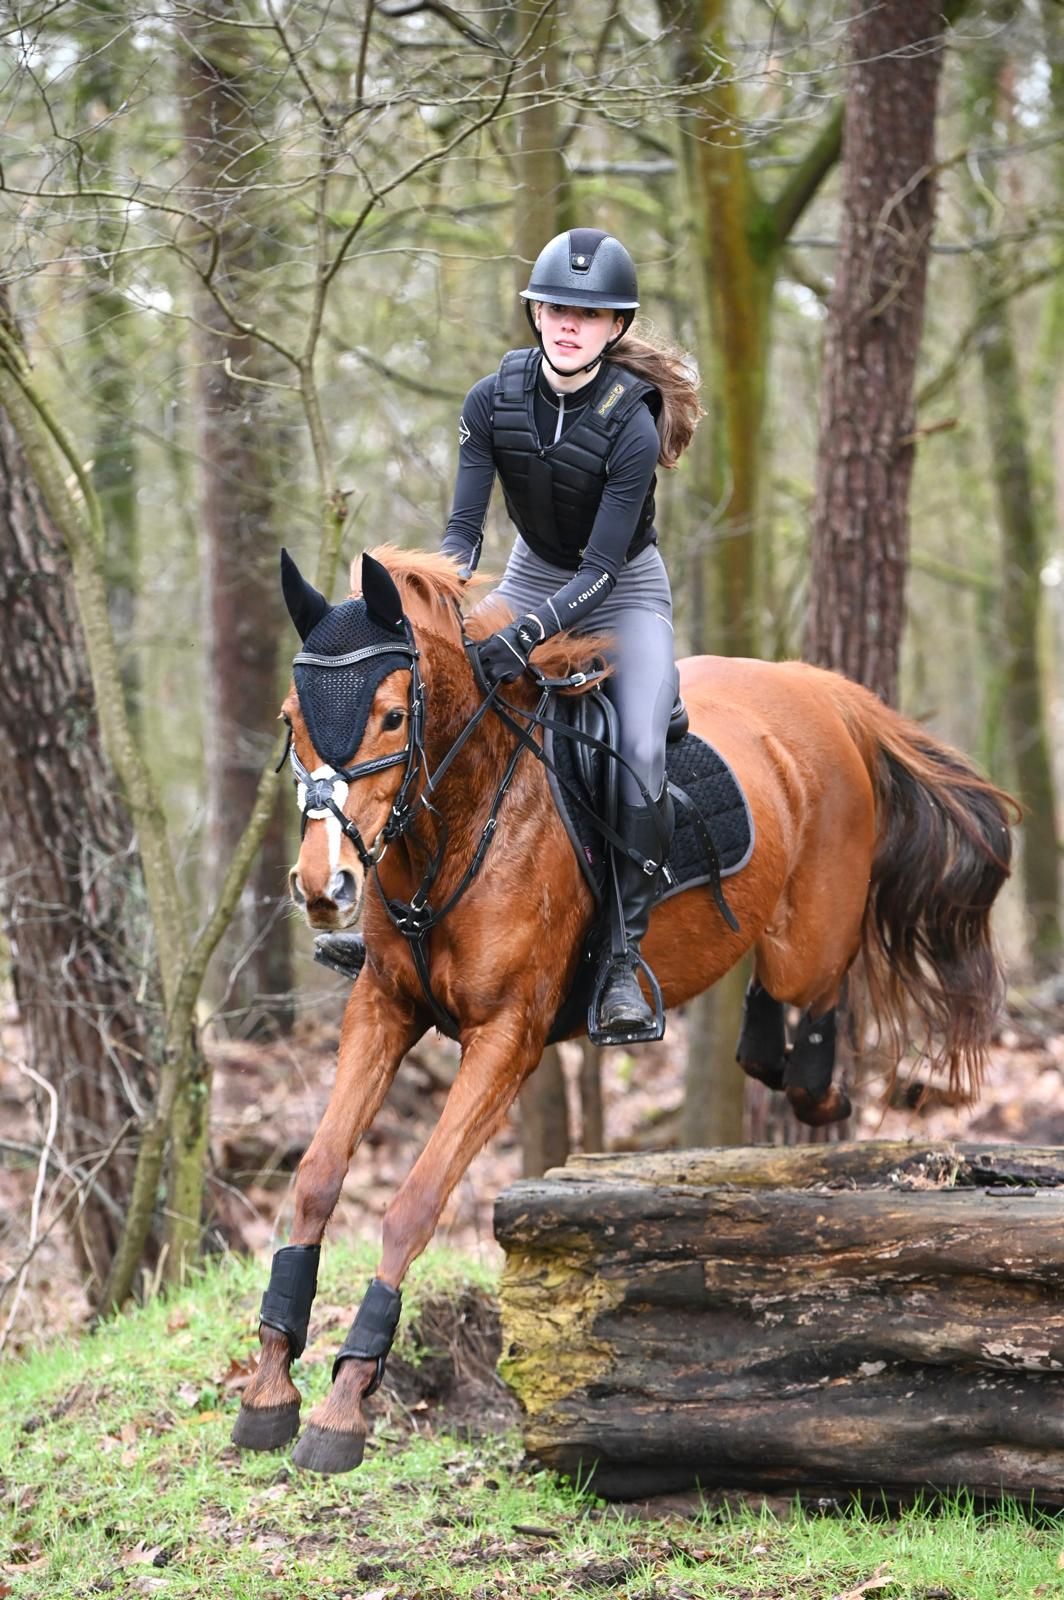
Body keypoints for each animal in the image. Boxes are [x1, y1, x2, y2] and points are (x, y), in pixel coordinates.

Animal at [232, 544, 1016, 1476]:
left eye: (391, 717)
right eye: (291, 717)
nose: (325, 889)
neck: (456, 822)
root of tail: (821, 690)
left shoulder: (508, 1038)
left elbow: (414, 1202)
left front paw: (346, 1402)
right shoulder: (383, 1007)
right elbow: (317, 1177)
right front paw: (270, 1385)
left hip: (813, 930)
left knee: (824, 983)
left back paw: (819, 1088)